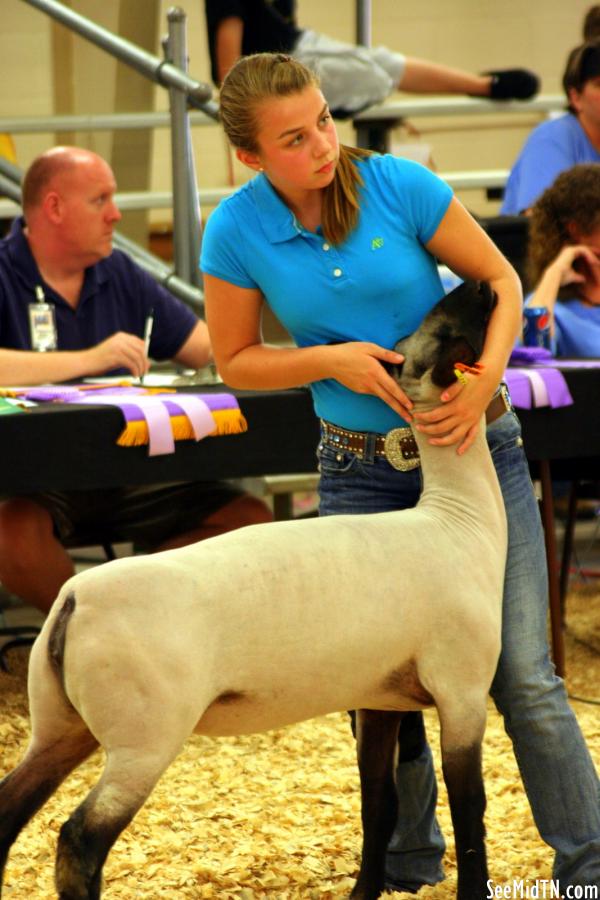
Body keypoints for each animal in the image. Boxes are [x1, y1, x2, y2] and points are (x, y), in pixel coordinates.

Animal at [0, 282, 506, 900]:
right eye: (440, 328)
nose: (484, 285)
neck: (459, 519)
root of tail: (74, 599)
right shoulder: (463, 689)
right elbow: (470, 809)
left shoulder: (378, 697)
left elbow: (378, 806)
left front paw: (364, 891)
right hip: (144, 735)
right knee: (79, 839)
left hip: (59, 723)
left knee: (7, 809)